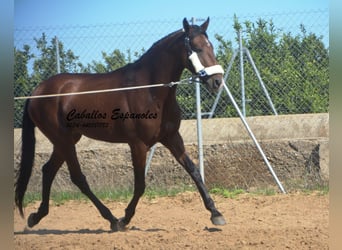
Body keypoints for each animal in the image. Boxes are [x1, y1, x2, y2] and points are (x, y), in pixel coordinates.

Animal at [14, 18, 226, 232]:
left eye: (211, 46)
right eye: (197, 48)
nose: (217, 81)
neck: (150, 91)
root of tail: (36, 92)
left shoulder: (172, 137)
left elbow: (194, 171)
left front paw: (216, 213)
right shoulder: (138, 144)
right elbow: (140, 185)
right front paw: (125, 218)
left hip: (66, 140)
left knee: (48, 170)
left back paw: (36, 216)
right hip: (63, 140)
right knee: (78, 178)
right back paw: (112, 219)